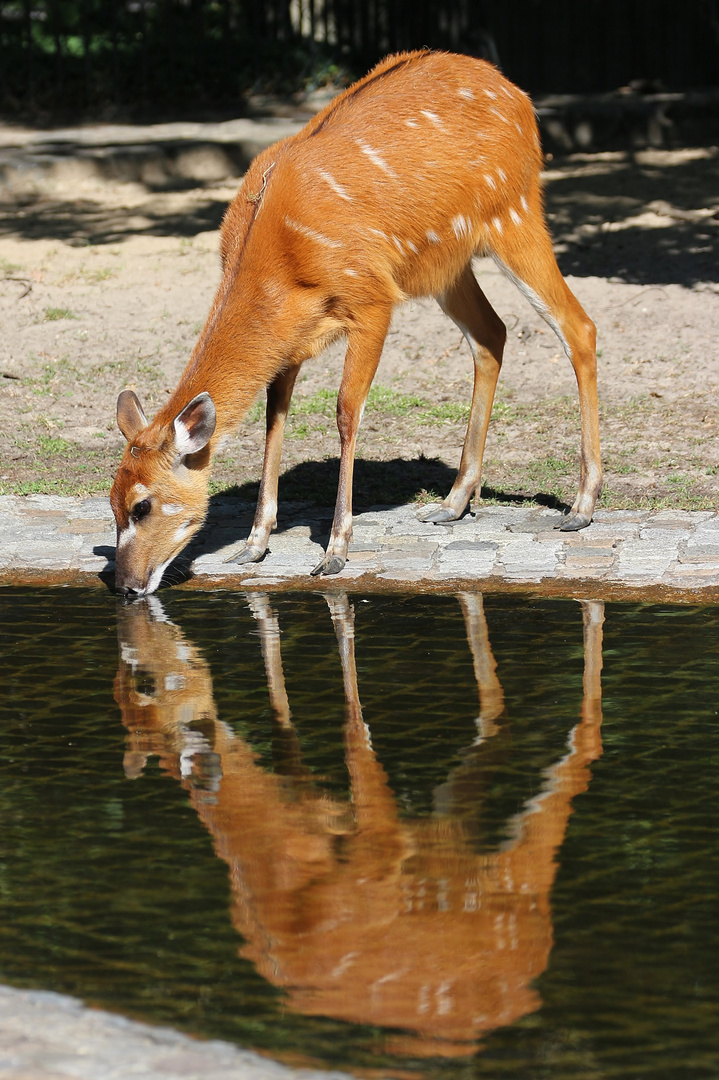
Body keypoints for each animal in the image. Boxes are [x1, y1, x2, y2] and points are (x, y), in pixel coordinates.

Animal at [107, 48, 600, 600]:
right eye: (111, 501)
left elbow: (346, 411)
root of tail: (520, 98)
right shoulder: (291, 342)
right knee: (492, 333)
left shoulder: (372, 299)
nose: (126, 586)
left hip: (513, 213)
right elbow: (274, 418)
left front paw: (335, 551)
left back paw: (580, 507)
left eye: (142, 505)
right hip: (447, 265)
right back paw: (452, 503)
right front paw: (254, 544)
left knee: (577, 325)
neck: (277, 261)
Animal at [114, 591, 600, 1054]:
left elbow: (352, 734)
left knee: (582, 747)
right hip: (451, 834)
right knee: (496, 725)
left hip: (517, 874)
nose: (130, 594)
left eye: (145, 683)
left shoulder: (380, 847)